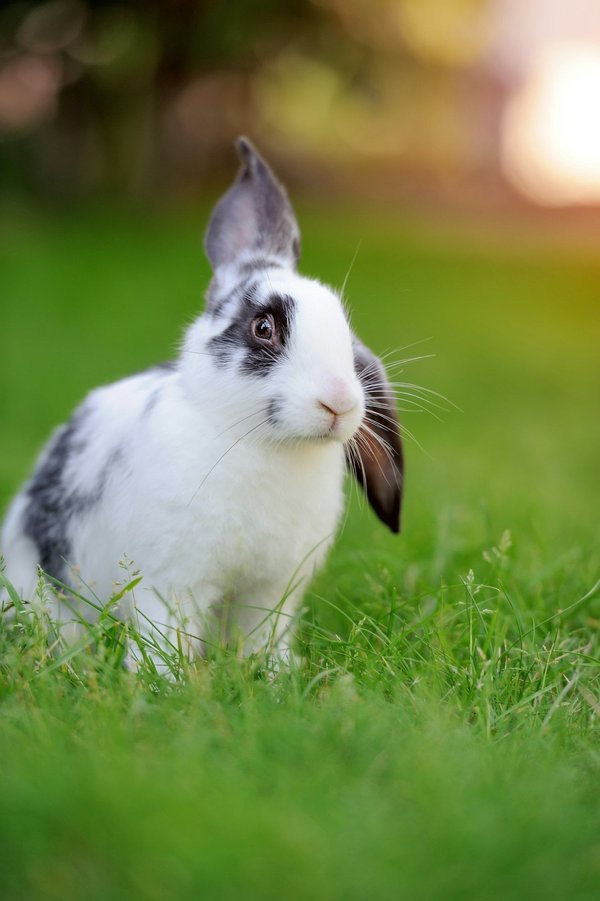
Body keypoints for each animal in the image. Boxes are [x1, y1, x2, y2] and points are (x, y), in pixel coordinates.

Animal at [1, 137, 404, 665]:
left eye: (344, 329)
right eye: (263, 327)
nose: (337, 401)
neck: (267, 447)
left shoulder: (271, 592)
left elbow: (264, 636)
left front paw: (276, 672)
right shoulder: (170, 583)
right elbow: (164, 636)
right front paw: (162, 678)